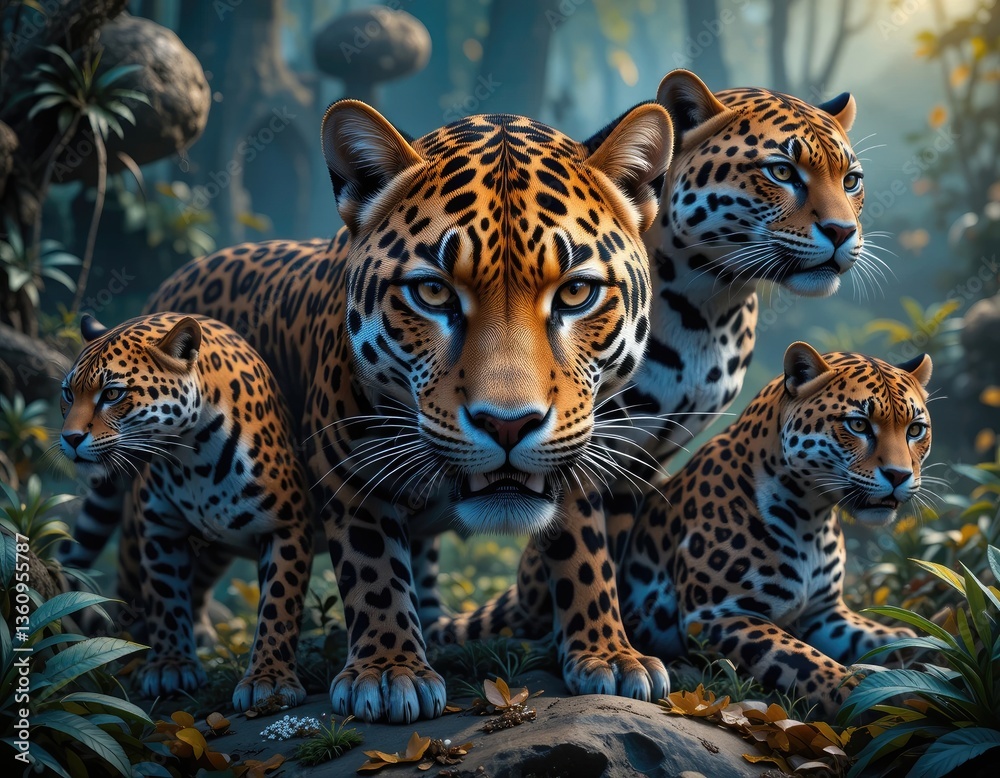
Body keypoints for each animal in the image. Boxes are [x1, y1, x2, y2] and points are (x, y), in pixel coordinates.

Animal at [59, 312, 312, 712]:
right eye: (69, 394)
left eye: (112, 394)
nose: (69, 439)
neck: (192, 457)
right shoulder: (159, 526)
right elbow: (165, 596)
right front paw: (171, 666)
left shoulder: (287, 524)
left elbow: (279, 603)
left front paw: (268, 679)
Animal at [116, 99, 677, 722]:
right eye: (432, 293)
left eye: (577, 293)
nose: (507, 424)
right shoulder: (350, 469)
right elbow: (374, 568)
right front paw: (390, 673)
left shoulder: (575, 452)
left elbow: (585, 554)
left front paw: (608, 653)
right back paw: (160, 658)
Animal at [443, 342, 933, 719]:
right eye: (858, 424)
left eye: (916, 430)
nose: (898, 476)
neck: (813, 513)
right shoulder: (719, 613)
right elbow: (805, 660)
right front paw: (867, 693)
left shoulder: (826, 613)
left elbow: (894, 636)